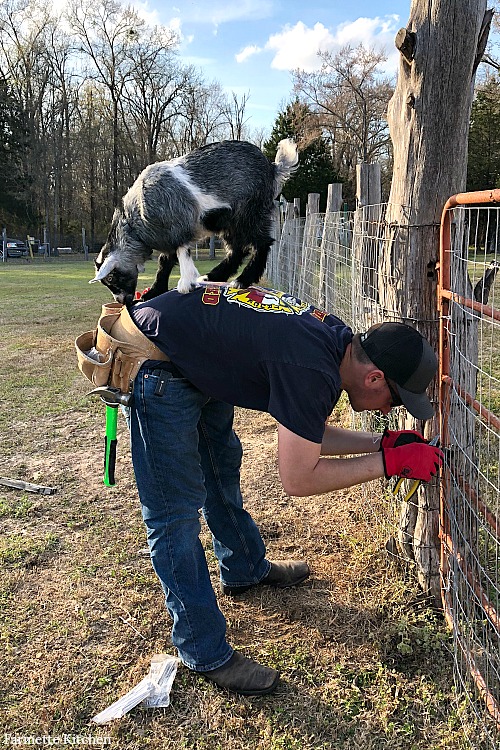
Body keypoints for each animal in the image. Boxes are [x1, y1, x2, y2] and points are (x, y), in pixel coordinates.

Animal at [91, 140, 296, 304]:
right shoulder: (168, 238)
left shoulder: (178, 228)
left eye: (111, 278)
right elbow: (164, 263)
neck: (134, 222)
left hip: (248, 213)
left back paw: (242, 280)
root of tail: (272, 167)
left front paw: (185, 283)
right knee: (238, 250)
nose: (122, 301)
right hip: (229, 223)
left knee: (262, 243)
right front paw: (155, 291)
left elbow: (182, 254)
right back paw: (212, 276)